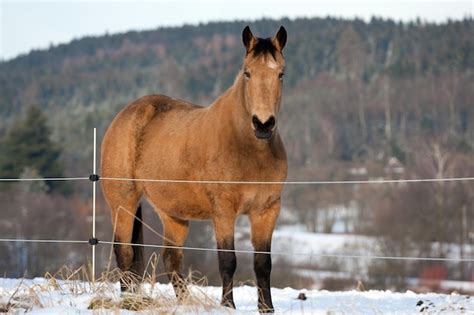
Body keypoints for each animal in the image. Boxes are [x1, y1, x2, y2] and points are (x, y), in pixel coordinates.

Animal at [101, 25, 286, 314]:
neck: (246, 149)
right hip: (123, 203)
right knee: (125, 253)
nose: (263, 124)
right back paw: (130, 302)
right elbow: (228, 261)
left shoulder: (267, 210)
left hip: (172, 213)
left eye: (281, 73)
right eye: (248, 72)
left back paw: (184, 303)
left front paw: (267, 308)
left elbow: (262, 264)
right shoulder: (223, 212)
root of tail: (125, 115)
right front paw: (228, 306)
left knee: (171, 257)